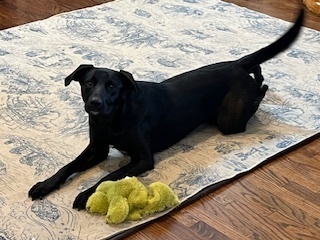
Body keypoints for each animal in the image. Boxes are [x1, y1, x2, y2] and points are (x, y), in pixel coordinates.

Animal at [28, 9, 304, 209]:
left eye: (112, 86)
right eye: (88, 84)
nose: (94, 103)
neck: (114, 118)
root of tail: (235, 65)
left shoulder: (143, 159)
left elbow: (107, 177)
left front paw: (86, 194)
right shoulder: (97, 148)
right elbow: (68, 166)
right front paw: (44, 185)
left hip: (230, 120)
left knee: (259, 90)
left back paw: (261, 84)